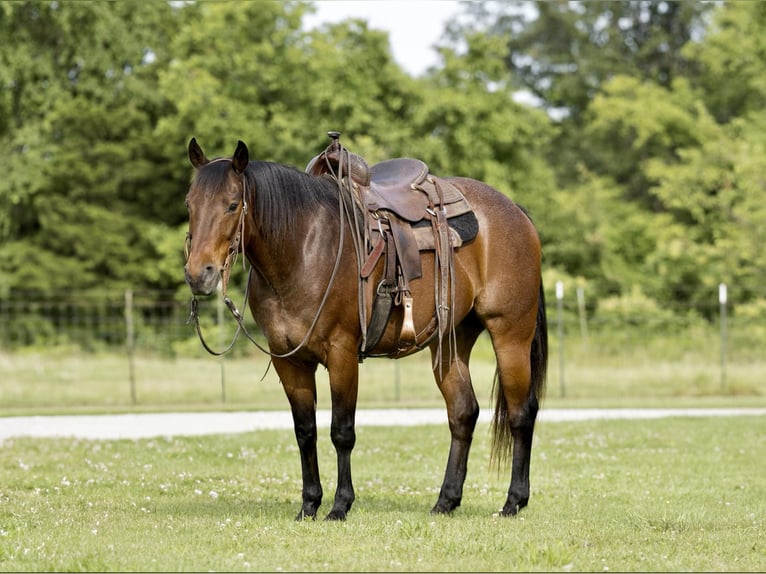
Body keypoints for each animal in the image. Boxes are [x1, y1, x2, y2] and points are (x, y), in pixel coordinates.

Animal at [183, 137, 548, 521]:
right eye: (189, 203)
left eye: (232, 205)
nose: (198, 274)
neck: (302, 248)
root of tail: (515, 210)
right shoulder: (289, 360)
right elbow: (305, 431)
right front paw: (309, 505)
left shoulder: (342, 352)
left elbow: (342, 431)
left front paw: (340, 505)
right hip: (450, 342)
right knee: (463, 412)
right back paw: (446, 501)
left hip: (510, 335)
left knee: (522, 412)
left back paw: (513, 501)